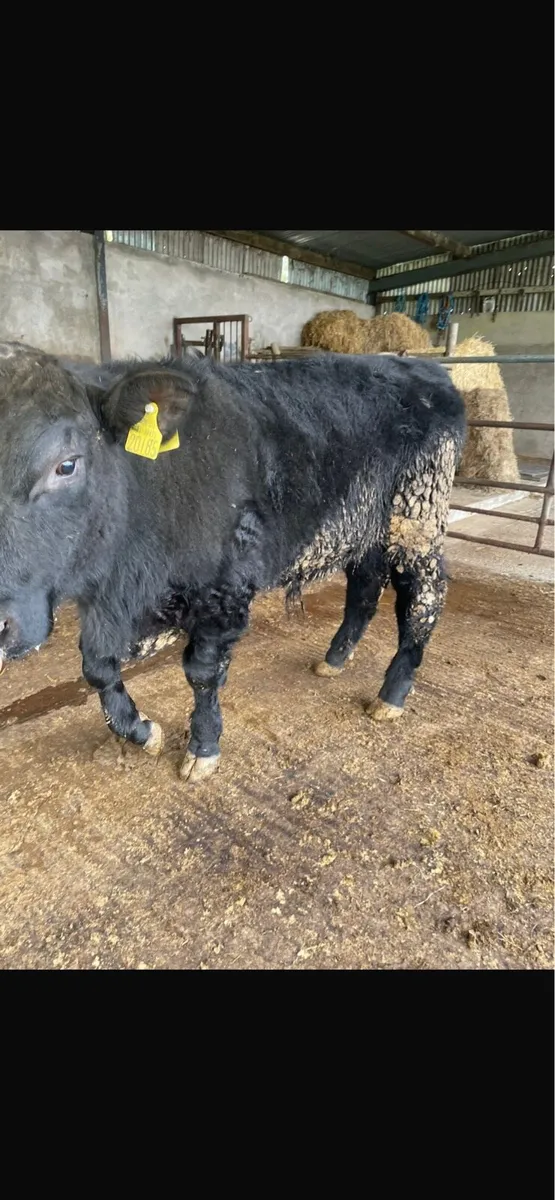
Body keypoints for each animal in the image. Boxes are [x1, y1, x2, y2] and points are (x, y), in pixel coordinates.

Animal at [0, 341, 465, 783]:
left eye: (66, 465)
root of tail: (424, 369)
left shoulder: (223, 589)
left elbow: (202, 672)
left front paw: (202, 748)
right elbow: (95, 666)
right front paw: (143, 731)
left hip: (417, 518)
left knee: (423, 597)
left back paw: (392, 694)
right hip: (366, 529)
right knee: (365, 588)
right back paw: (333, 660)